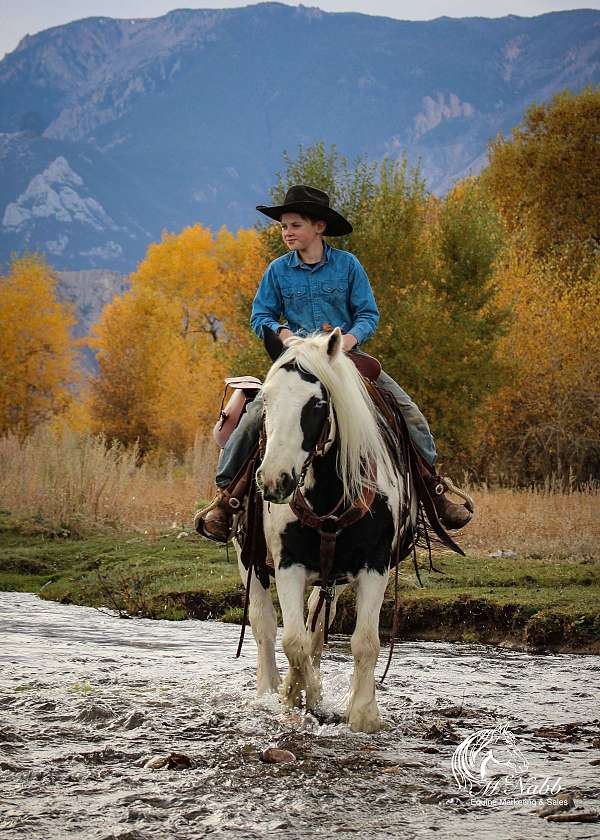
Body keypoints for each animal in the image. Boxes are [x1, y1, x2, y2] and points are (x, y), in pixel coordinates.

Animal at [234, 324, 418, 732]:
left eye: (316, 404)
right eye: (266, 400)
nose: (274, 480)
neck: (331, 493)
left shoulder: (375, 566)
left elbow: (364, 641)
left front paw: (363, 712)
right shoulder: (288, 564)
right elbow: (293, 640)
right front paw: (300, 696)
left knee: (318, 623)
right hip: (249, 559)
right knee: (264, 624)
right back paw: (268, 690)